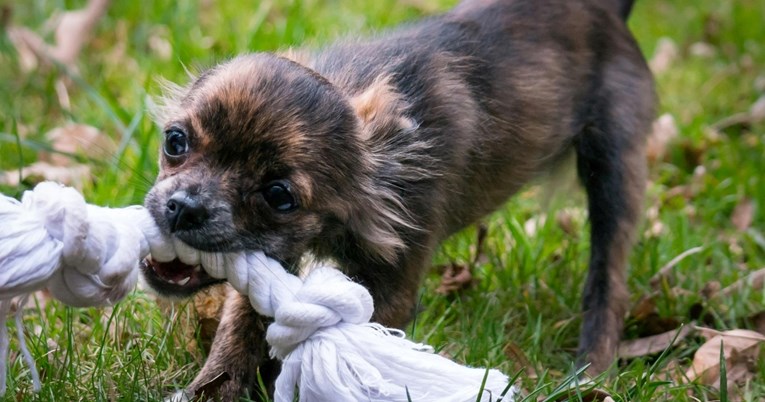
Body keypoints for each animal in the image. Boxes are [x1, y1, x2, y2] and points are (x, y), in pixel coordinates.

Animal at [140, 0, 652, 398]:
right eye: (175, 141)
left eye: (278, 196)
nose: (184, 207)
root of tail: (608, 13)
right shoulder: (271, 260)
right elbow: (238, 332)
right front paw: (211, 391)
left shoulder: (391, 284)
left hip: (614, 171)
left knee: (609, 281)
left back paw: (591, 371)